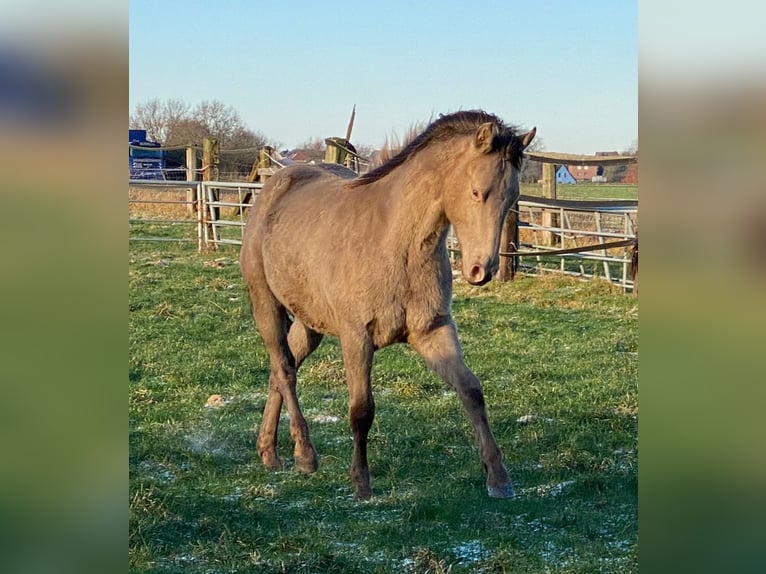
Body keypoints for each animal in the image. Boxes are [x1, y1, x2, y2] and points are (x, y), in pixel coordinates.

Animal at [238, 111, 536, 500]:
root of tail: (276, 183)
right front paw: (361, 483)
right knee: (285, 369)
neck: (395, 242)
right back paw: (304, 456)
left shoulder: (433, 331)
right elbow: (361, 410)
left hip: (309, 321)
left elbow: (471, 390)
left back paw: (269, 451)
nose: (480, 270)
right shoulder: (356, 338)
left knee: (281, 368)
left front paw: (499, 479)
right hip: (266, 304)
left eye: (512, 196)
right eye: (476, 191)